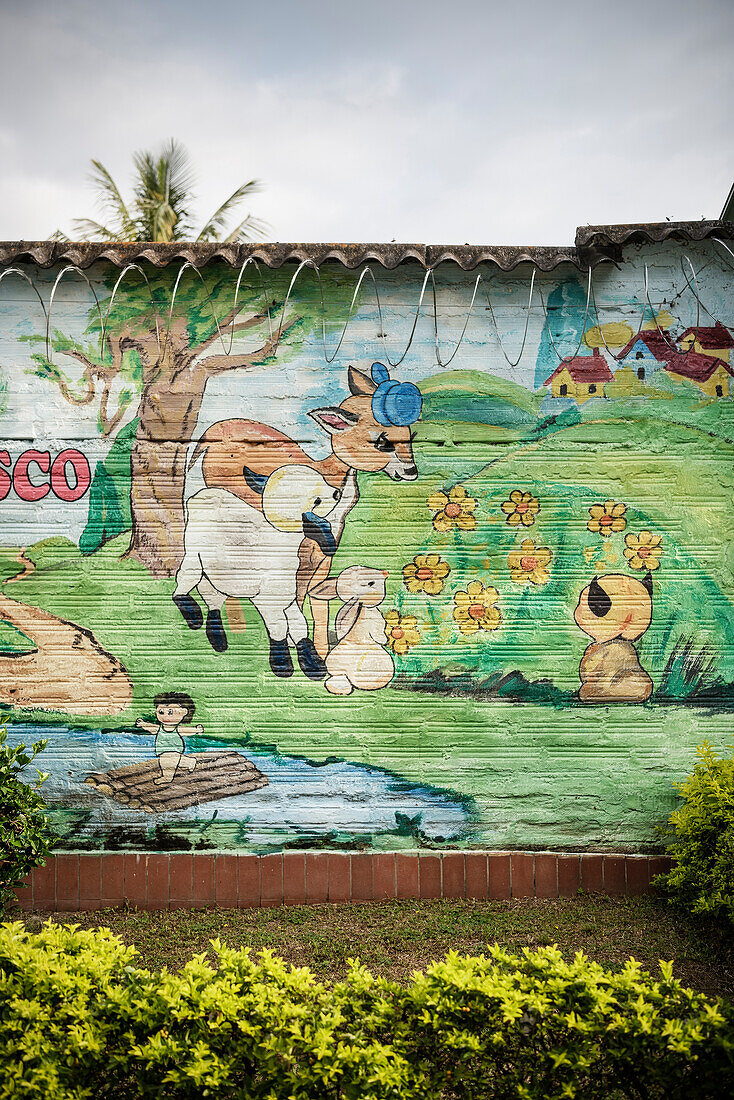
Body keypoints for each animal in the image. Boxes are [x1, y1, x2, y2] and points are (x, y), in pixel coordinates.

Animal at [187, 360, 422, 655]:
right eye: (382, 441)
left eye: (411, 435)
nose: (411, 471)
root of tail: (212, 430)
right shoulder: (296, 563)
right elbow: (294, 605)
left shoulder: (322, 561)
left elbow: (319, 604)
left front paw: (322, 651)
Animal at [312, 567, 398, 695]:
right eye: (371, 583)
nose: (385, 572)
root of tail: (347, 673)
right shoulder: (375, 617)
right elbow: (379, 630)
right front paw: (385, 640)